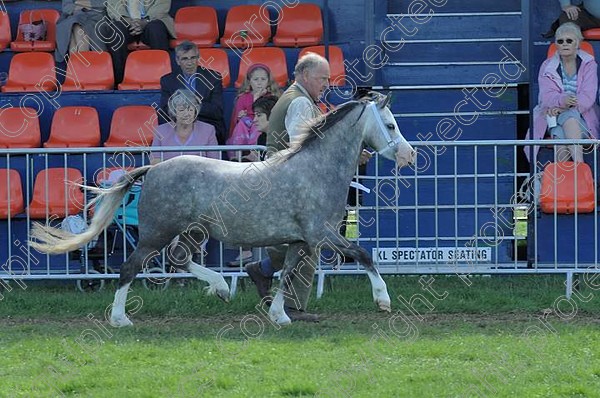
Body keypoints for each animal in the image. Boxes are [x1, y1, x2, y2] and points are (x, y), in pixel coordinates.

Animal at [30, 91, 418, 326]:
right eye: (390, 124)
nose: (409, 155)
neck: (315, 168)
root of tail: (152, 170)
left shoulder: (300, 240)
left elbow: (287, 273)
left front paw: (280, 315)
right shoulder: (320, 234)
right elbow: (363, 254)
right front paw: (383, 300)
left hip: (191, 231)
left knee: (179, 260)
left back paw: (220, 288)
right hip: (156, 233)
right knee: (130, 268)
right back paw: (121, 319)